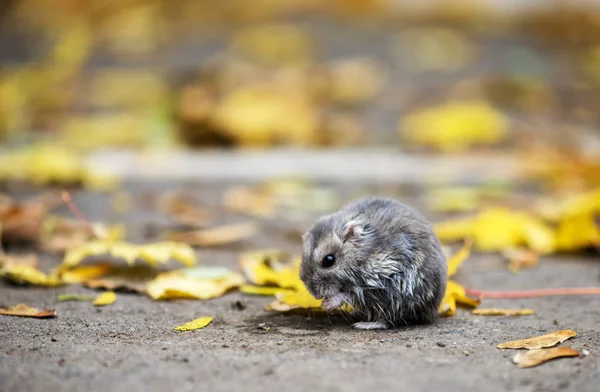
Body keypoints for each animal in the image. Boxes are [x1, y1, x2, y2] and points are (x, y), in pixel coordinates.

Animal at [298, 198, 446, 330]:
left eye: (329, 260)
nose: (317, 296)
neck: (360, 253)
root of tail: (433, 311)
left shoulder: (384, 276)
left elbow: (352, 293)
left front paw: (327, 305)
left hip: (400, 297)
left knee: (388, 319)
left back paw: (363, 324)